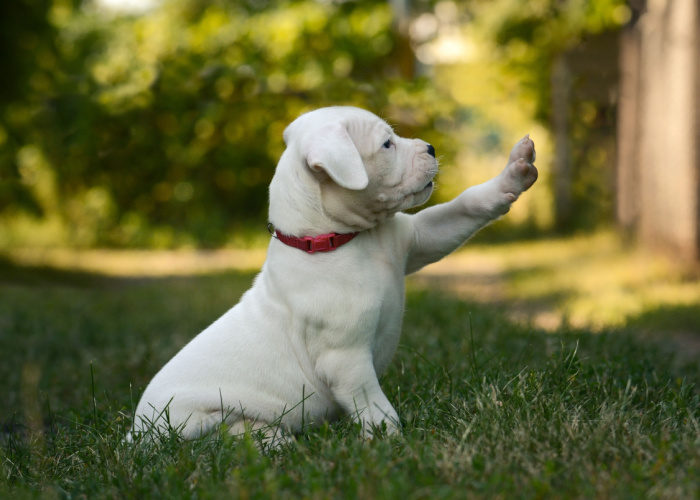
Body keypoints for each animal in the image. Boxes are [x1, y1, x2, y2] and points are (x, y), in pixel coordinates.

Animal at [130, 107, 536, 444]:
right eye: (387, 143)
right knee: (225, 437)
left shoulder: (418, 240)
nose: (431, 148)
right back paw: (274, 441)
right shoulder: (346, 361)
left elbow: (465, 207)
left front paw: (514, 173)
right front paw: (395, 444)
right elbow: (375, 407)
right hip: (195, 418)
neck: (338, 240)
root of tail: (133, 439)